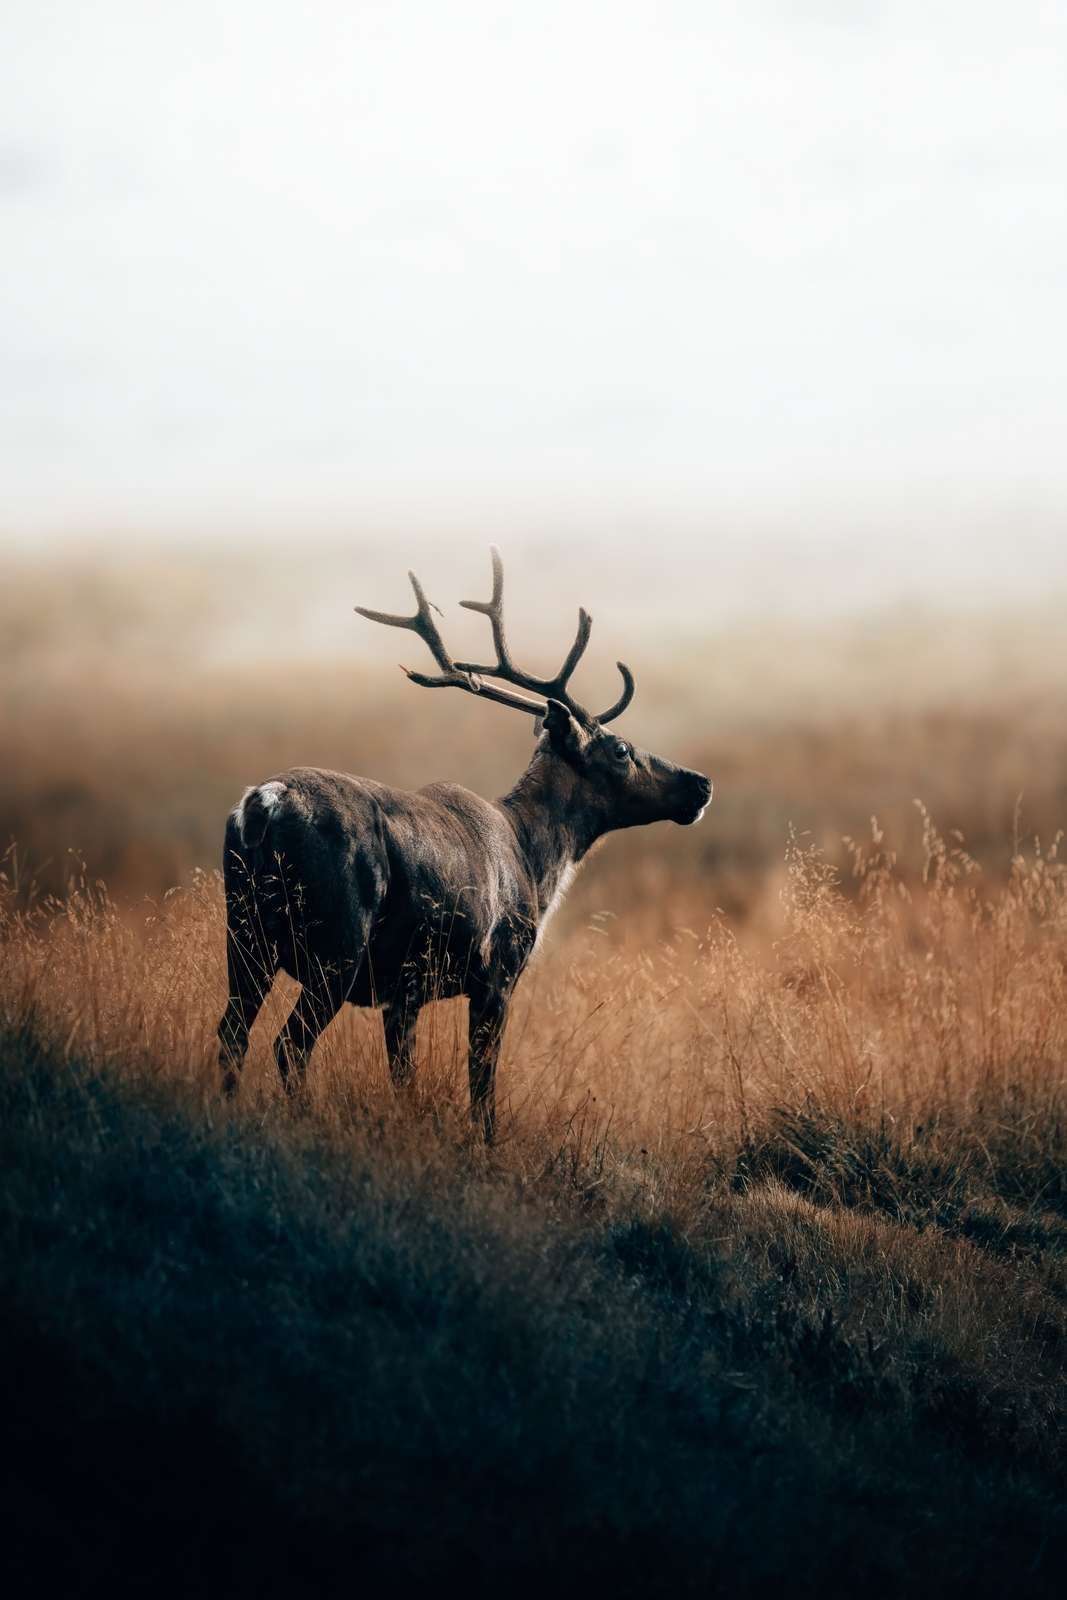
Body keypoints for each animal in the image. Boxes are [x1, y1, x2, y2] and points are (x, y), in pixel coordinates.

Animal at [216, 548, 712, 1140]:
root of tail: (262, 802)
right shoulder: (497, 973)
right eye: (620, 749)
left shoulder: (403, 994)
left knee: (232, 1032)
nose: (700, 783)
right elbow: (482, 1087)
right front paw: (487, 1145)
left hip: (245, 931)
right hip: (335, 942)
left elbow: (404, 1077)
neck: (536, 860)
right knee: (289, 1044)